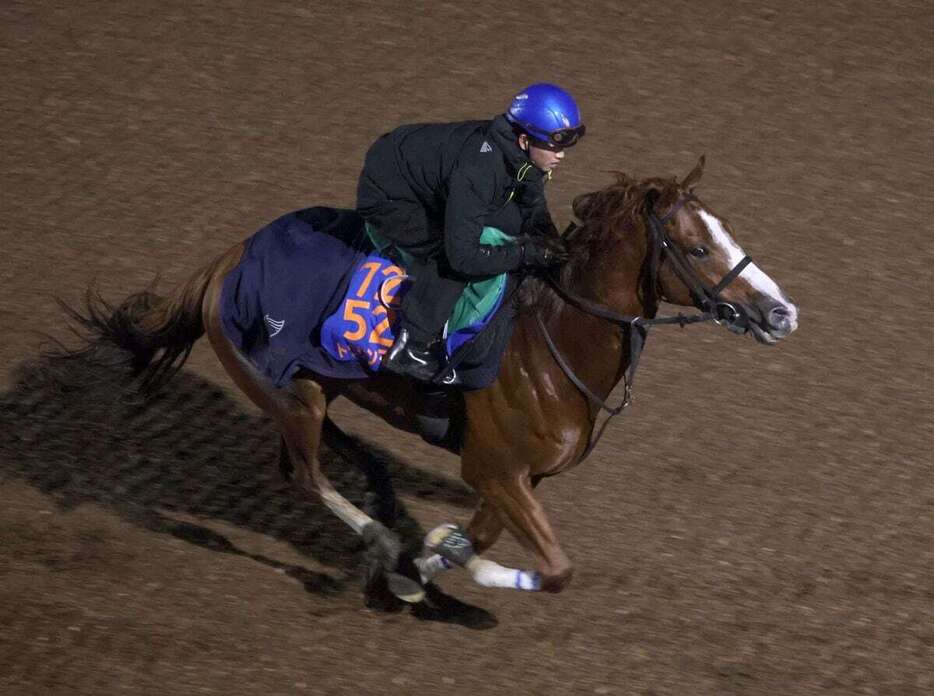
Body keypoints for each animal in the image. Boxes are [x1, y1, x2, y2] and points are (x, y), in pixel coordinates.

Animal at [62, 158, 800, 604]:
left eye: (728, 233)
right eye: (699, 247)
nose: (781, 312)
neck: (551, 344)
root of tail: (226, 261)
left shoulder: (516, 477)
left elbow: (482, 535)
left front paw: (432, 560)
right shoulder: (496, 470)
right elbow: (554, 570)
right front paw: (445, 564)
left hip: (311, 388)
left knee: (318, 453)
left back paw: (383, 501)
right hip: (290, 393)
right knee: (304, 472)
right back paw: (380, 536)